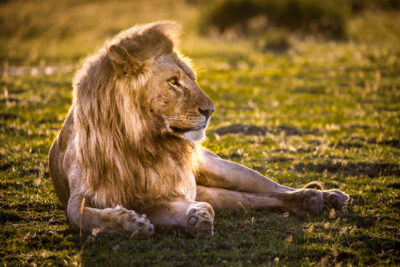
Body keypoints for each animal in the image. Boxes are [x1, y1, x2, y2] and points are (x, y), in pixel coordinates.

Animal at [48, 21, 348, 239]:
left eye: (192, 79)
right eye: (173, 82)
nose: (210, 110)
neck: (141, 143)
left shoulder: (163, 191)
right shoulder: (93, 192)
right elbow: (78, 213)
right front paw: (135, 224)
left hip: (224, 168)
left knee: (274, 188)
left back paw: (326, 196)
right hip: (213, 190)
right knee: (255, 199)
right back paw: (310, 201)